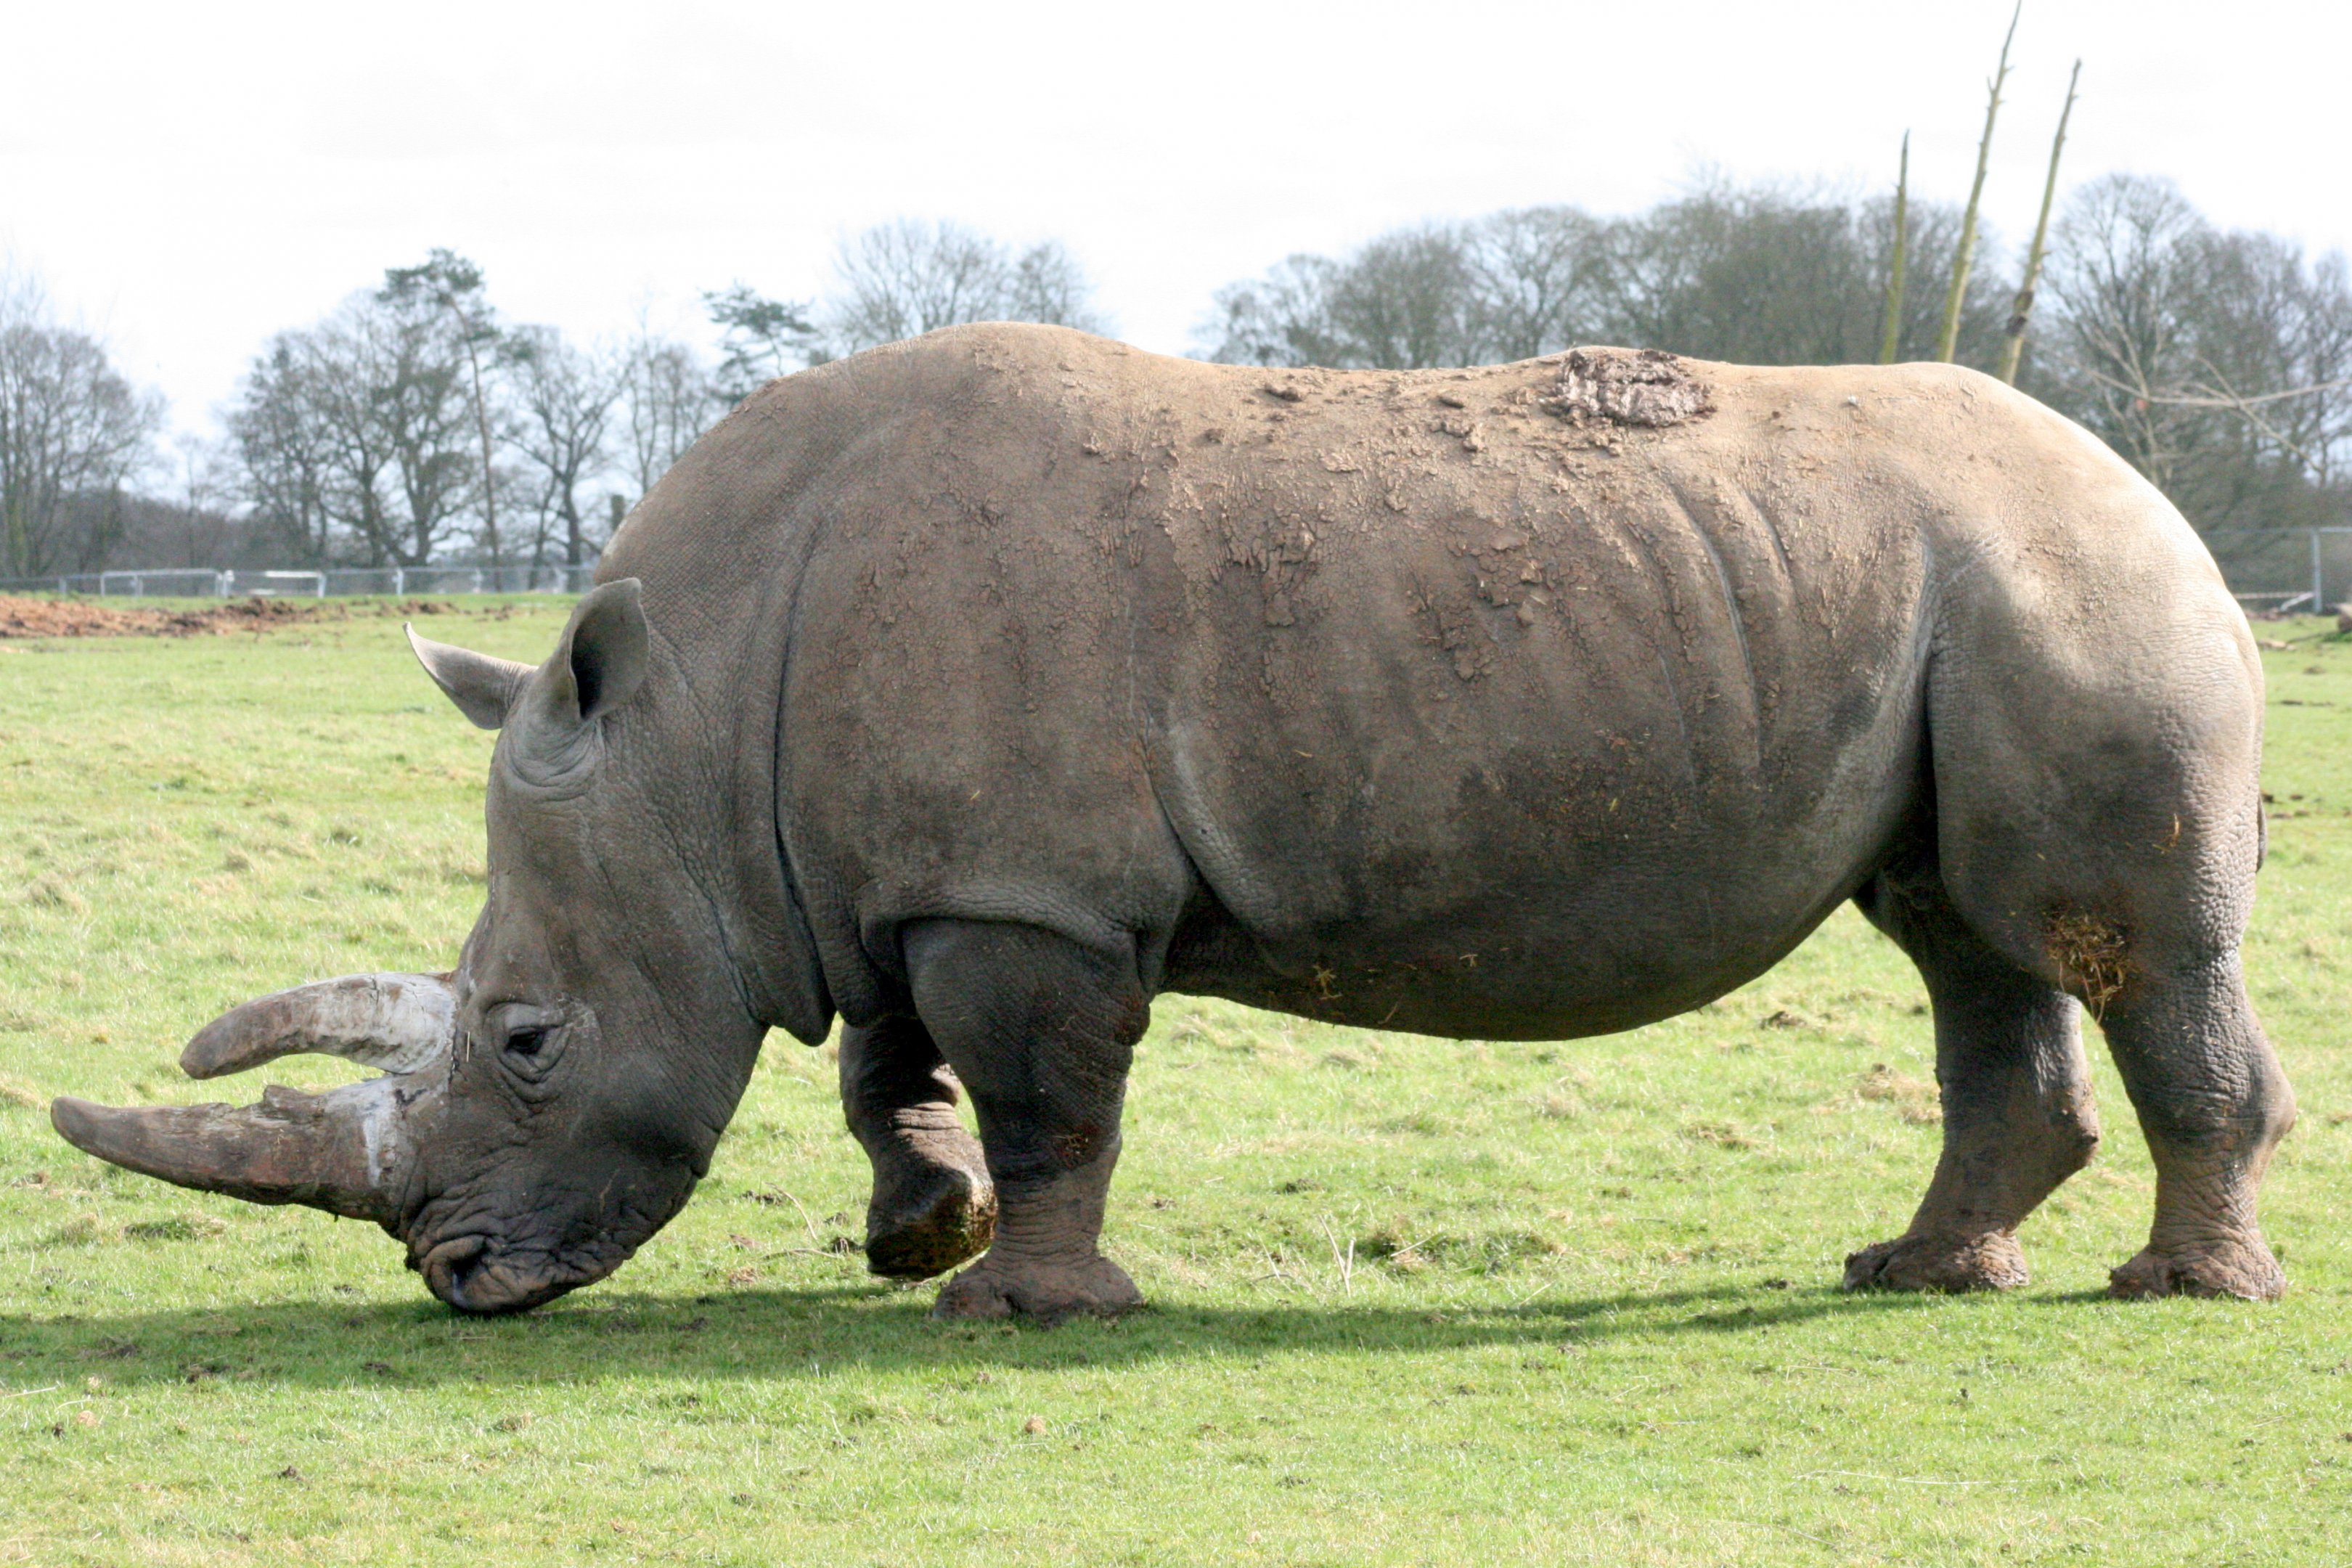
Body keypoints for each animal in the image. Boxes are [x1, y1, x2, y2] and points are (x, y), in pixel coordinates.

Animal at [53, 325, 2293, 1317]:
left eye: (527, 1041)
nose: (450, 1273)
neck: (687, 731)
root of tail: (2157, 494)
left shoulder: (1026, 895)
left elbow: (1048, 1094)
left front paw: (1022, 1311)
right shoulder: (908, 873)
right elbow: (886, 1064)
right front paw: (924, 1234)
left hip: (2074, 591)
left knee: (2101, 931)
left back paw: (2174, 1297)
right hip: (1965, 603)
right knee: (1962, 934)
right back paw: (1914, 1274)